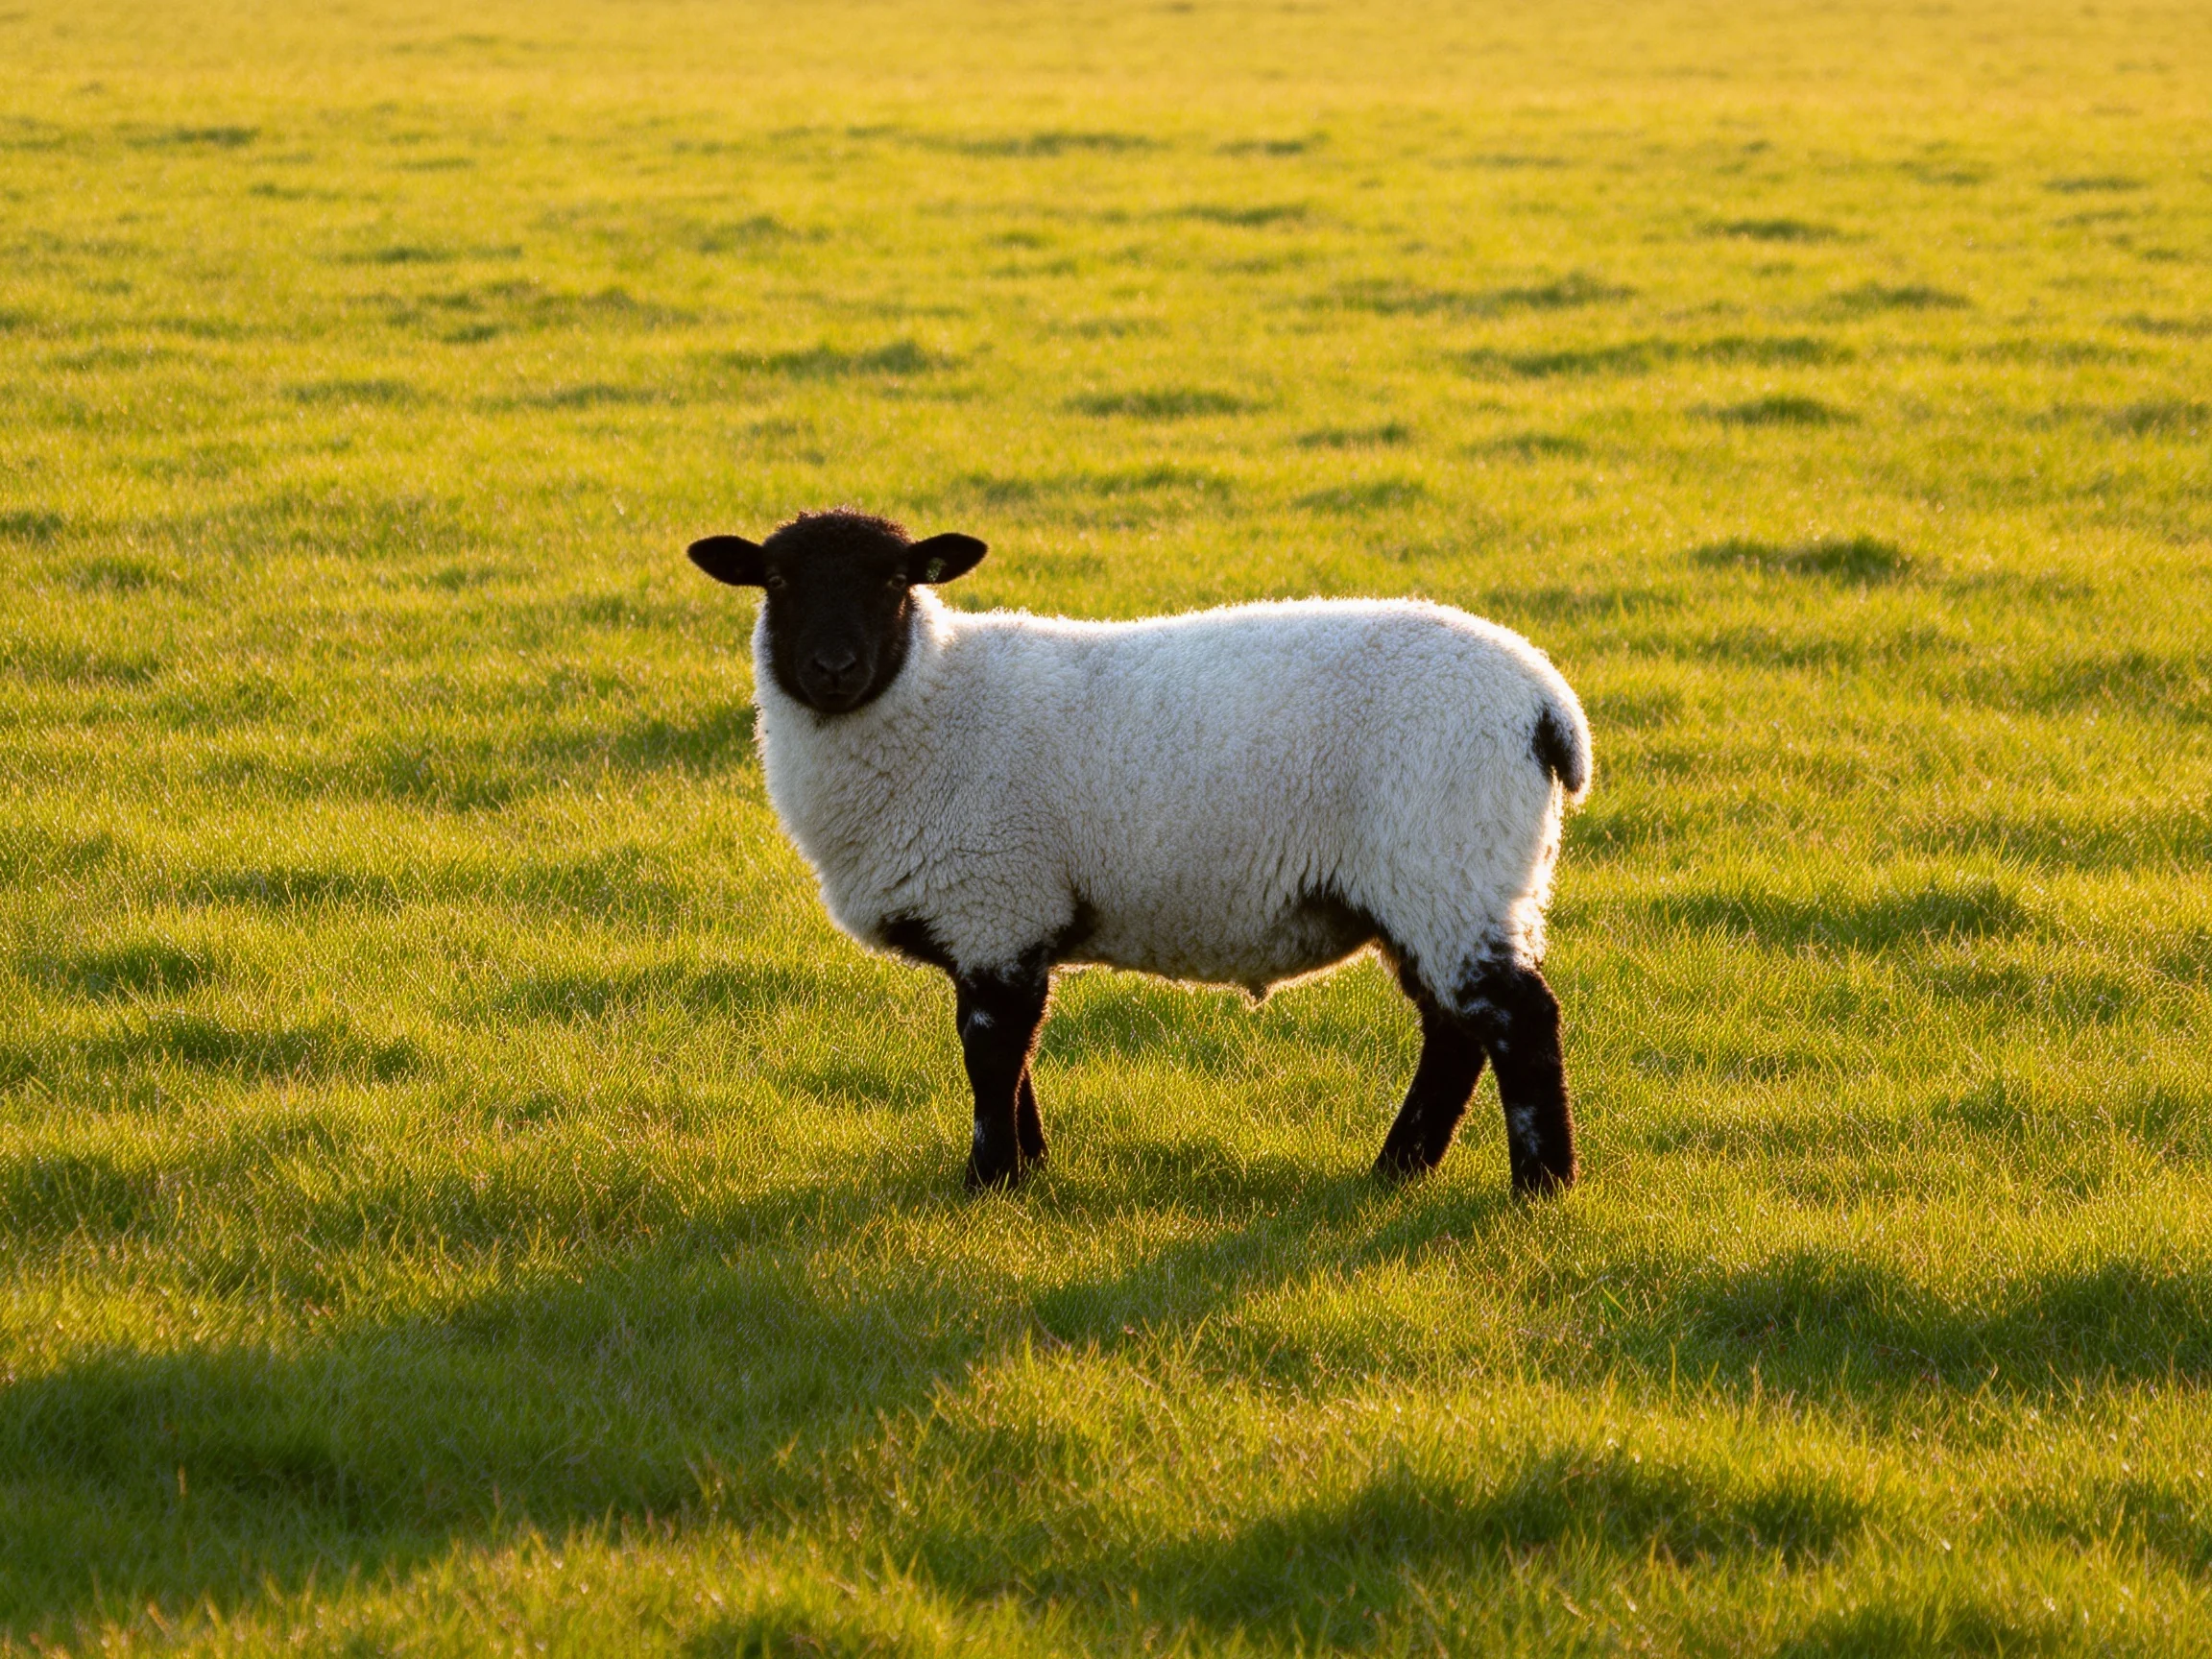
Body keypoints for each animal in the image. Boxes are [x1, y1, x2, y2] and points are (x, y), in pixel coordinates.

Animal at [687, 509, 1592, 1195]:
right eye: (777, 583)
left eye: (893, 583)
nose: (833, 668)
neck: (932, 701)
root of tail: (1544, 701)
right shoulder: (1009, 917)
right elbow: (1017, 1058)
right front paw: (1031, 1168)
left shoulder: (996, 902)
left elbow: (990, 1055)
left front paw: (990, 1181)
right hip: (1435, 884)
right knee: (1453, 1030)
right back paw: (1398, 1169)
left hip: (1447, 861)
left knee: (1517, 1020)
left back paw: (1540, 1185)